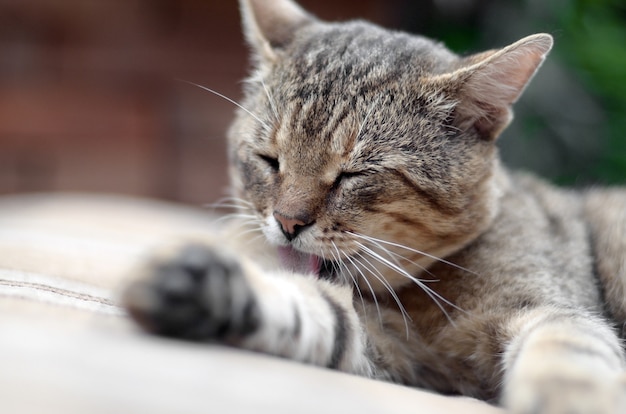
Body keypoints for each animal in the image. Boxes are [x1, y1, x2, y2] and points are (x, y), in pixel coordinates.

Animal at [122, 1, 624, 412]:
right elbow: (319, 312)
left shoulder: (558, 309)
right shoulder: (392, 349)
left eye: (353, 175)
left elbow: (570, 355)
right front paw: (207, 285)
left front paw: (570, 398)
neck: (427, 292)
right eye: (269, 159)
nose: (287, 222)